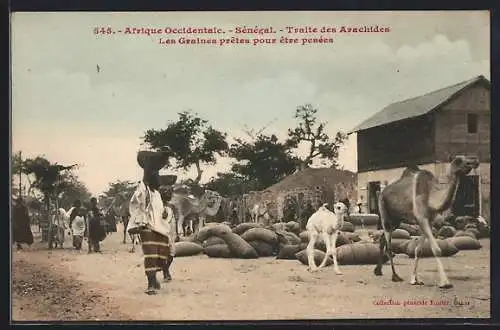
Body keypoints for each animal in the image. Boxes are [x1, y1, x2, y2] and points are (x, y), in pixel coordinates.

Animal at [376, 156, 480, 288]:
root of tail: (381, 191)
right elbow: (436, 250)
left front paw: (415, 280)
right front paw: (445, 283)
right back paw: (395, 276)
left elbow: (418, 250)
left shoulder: (428, 221)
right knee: (389, 245)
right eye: (458, 160)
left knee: (382, 239)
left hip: (396, 220)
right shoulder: (422, 218)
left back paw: (378, 271)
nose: (475, 160)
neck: (431, 198)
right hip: (384, 212)